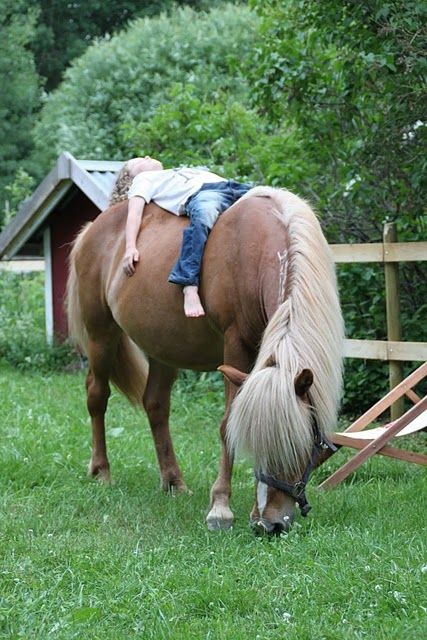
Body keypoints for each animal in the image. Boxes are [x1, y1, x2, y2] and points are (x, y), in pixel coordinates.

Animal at [66, 185, 344, 536]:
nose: (271, 524)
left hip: (163, 347)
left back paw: (173, 481)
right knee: (97, 396)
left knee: (156, 405)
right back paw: (102, 471)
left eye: (303, 444)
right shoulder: (236, 346)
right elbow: (227, 425)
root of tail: (91, 229)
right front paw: (220, 508)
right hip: (101, 335)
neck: (259, 249)